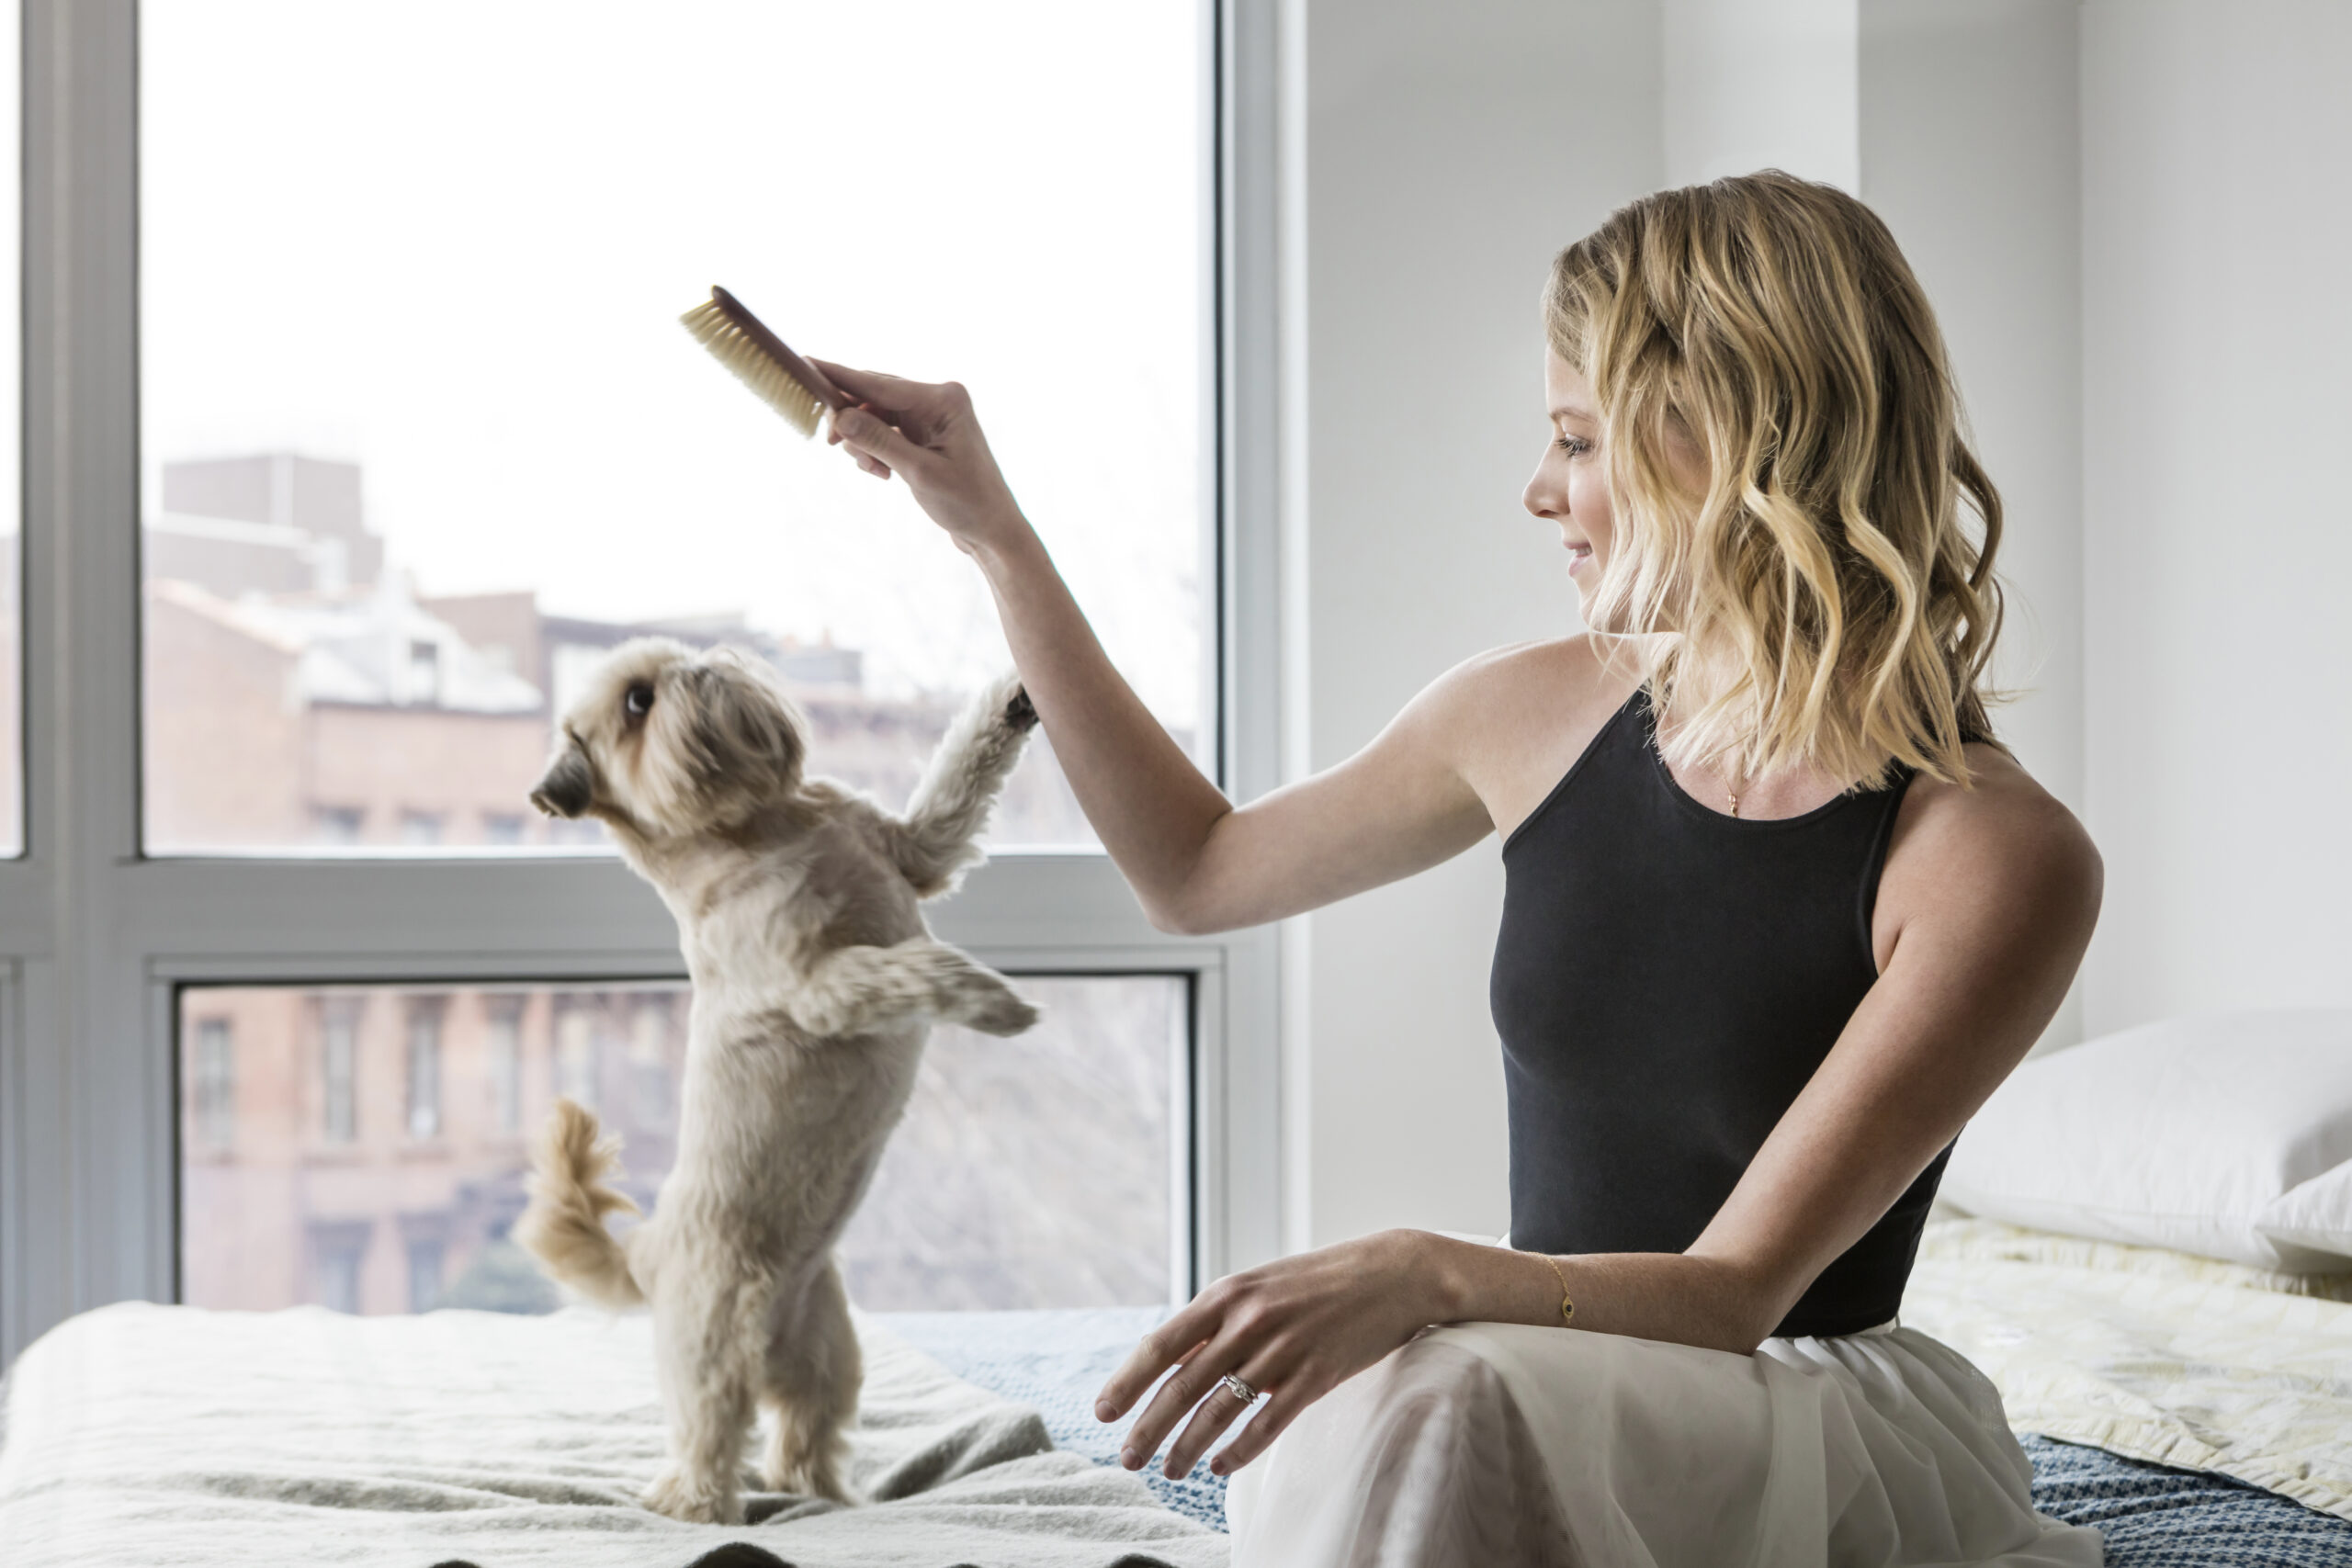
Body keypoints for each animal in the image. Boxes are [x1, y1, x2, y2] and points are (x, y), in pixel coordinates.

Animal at [519, 639, 1044, 1523]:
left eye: (673, 660)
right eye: (637, 702)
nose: (701, 662)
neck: (753, 826)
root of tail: (647, 1257)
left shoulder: (914, 848)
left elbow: (961, 774)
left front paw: (1016, 695)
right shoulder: (822, 987)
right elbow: (911, 969)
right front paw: (989, 998)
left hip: (829, 1353)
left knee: (800, 1443)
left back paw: (834, 1498)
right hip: (711, 1357)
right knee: (705, 1449)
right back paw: (699, 1505)